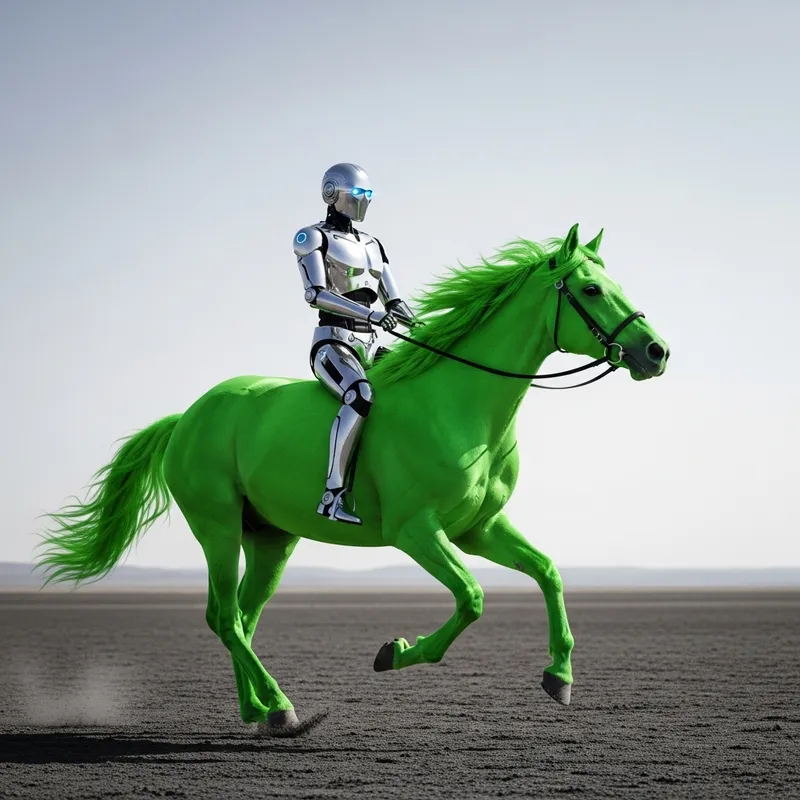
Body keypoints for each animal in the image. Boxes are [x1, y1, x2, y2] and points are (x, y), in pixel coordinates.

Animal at [36, 223, 669, 733]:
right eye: (591, 289)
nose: (655, 352)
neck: (459, 404)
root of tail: (187, 417)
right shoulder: (417, 532)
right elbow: (472, 598)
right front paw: (395, 652)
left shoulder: (479, 529)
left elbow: (547, 572)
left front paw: (559, 676)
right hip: (216, 527)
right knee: (225, 617)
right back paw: (282, 709)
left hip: (270, 539)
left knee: (239, 617)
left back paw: (256, 711)